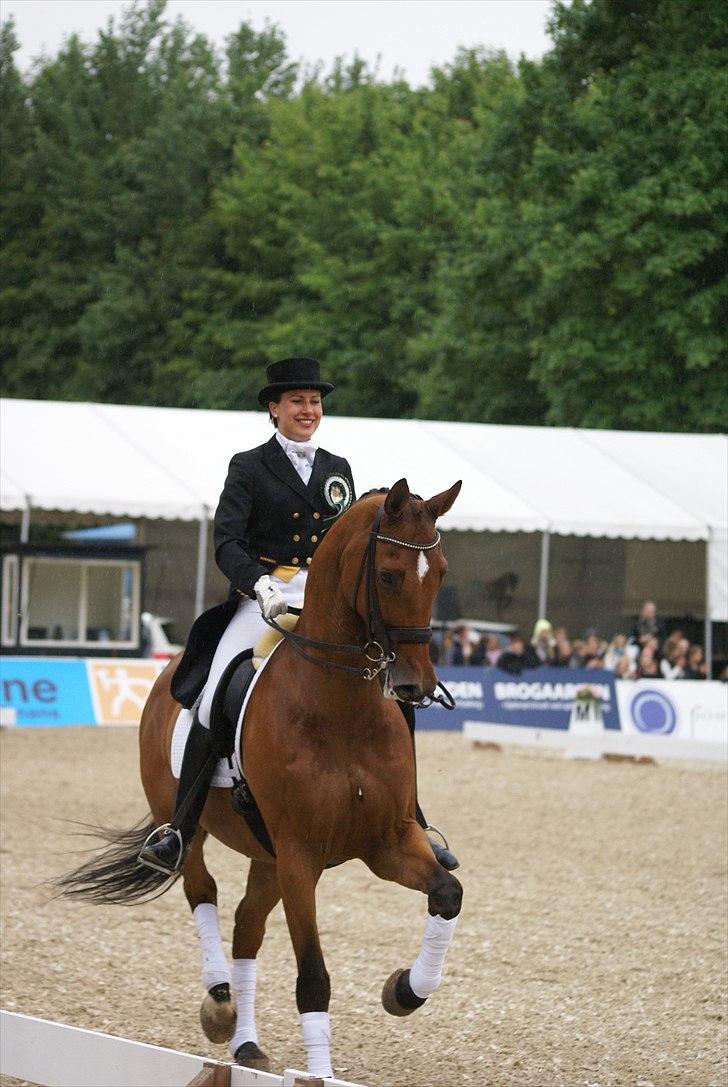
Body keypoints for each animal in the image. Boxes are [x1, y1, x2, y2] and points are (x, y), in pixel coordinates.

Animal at [59, 482, 465, 1078]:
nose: (416, 685)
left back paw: (245, 1045)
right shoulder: (300, 855)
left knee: (247, 927)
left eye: (438, 572)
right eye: (390, 575)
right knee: (201, 889)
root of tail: (166, 673)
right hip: (190, 825)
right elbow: (314, 979)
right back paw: (219, 1005)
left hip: (266, 855)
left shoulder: (386, 841)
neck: (341, 708)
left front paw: (404, 991)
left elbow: (447, 893)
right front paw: (319, 1075)